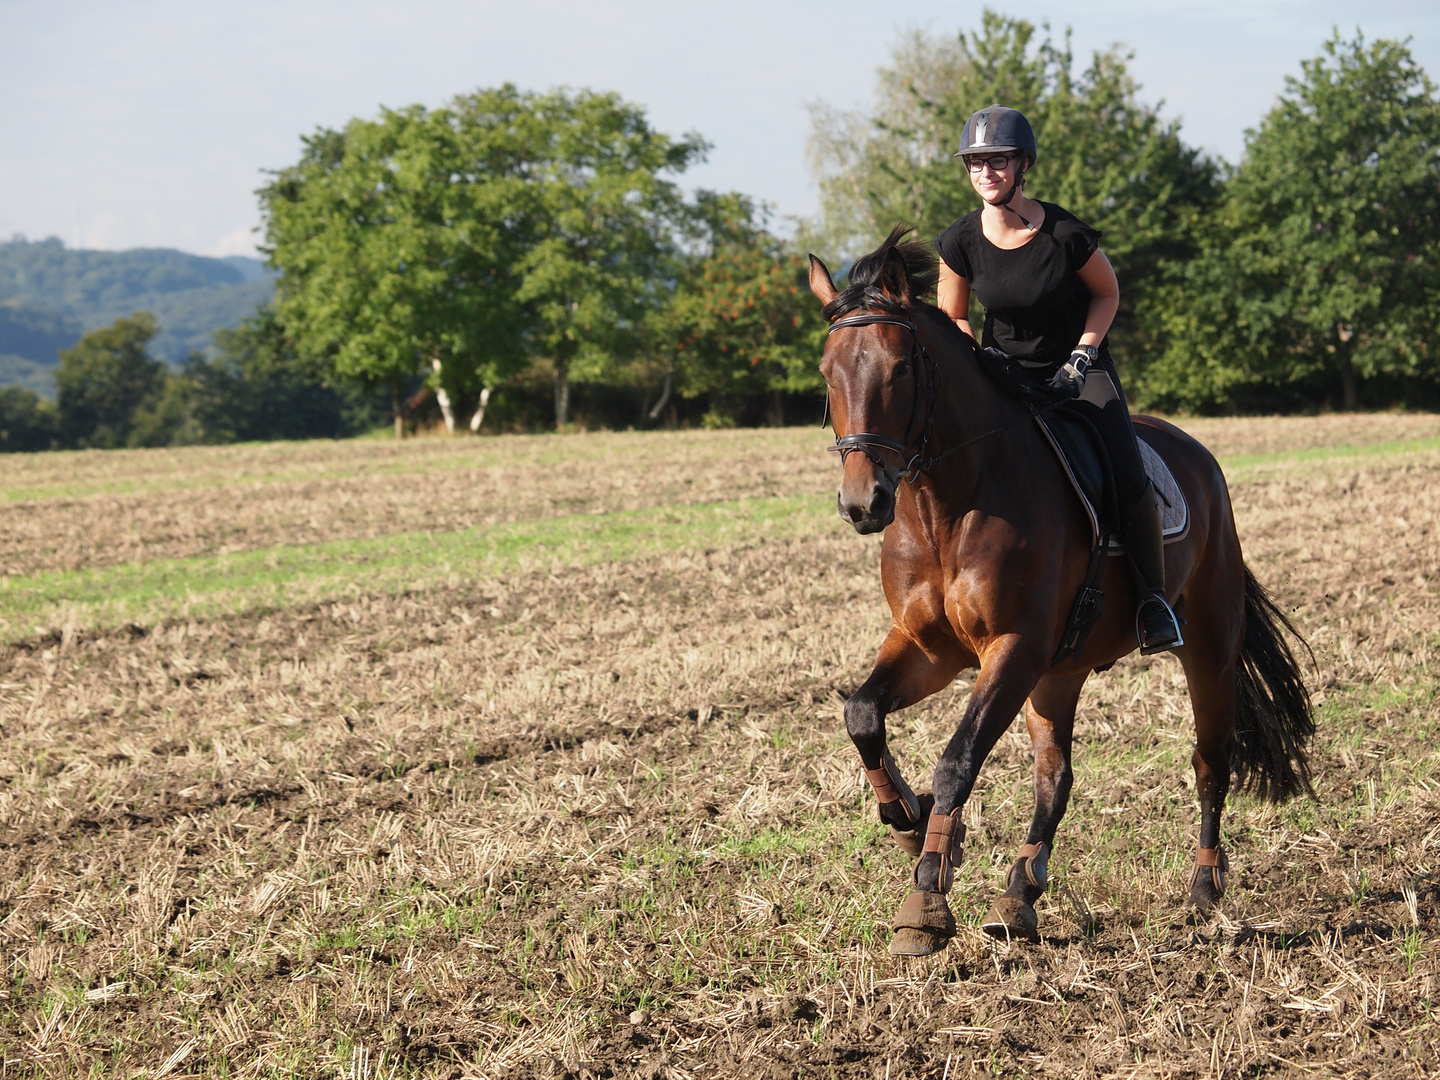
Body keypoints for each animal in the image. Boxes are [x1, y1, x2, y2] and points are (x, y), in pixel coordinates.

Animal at [812, 228, 1319, 956]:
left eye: (901, 369)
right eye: (829, 374)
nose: (863, 503)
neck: (948, 502)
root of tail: (1199, 456)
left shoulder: (1014, 648)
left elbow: (957, 761)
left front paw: (927, 897)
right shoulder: (930, 647)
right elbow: (861, 715)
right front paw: (908, 820)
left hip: (1208, 649)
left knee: (1210, 761)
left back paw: (1203, 891)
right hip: (1058, 673)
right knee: (1056, 779)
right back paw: (1019, 894)